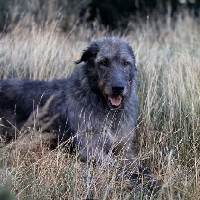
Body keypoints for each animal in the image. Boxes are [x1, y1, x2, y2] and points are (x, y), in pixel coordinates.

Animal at [0, 37, 156, 191]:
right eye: (103, 62)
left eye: (126, 63)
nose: (118, 88)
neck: (107, 110)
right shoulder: (89, 149)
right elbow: (117, 165)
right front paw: (137, 182)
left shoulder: (125, 148)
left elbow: (139, 165)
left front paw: (152, 181)